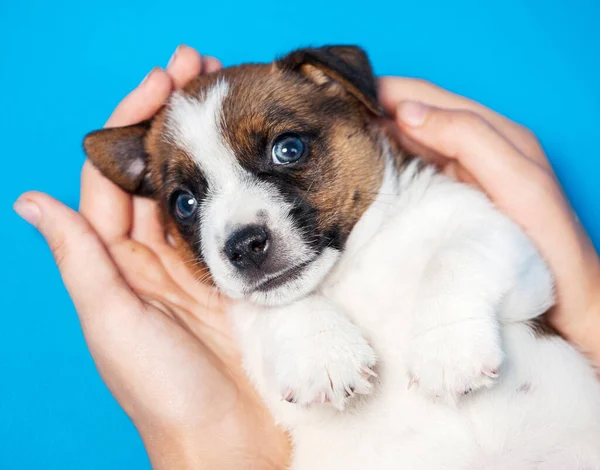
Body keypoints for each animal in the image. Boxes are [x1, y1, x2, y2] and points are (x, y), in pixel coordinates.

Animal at [83, 46, 600, 468]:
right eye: (185, 203)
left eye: (289, 148)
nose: (244, 246)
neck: (353, 266)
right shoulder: (258, 346)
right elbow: (281, 306)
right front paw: (324, 353)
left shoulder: (502, 238)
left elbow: (454, 257)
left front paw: (447, 348)